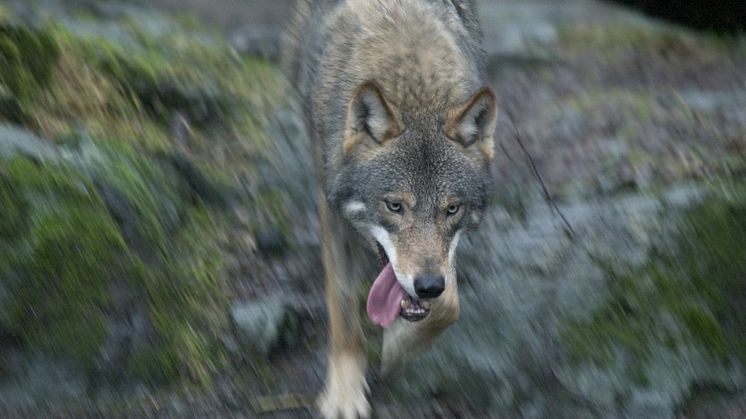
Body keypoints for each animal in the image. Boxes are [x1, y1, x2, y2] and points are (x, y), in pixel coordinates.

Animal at [282, 0, 496, 416]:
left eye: (452, 209)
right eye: (394, 206)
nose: (427, 286)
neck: (414, 91)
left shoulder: (440, 265)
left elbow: (448, 306)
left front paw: (399, 346)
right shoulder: (332, 213)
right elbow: (343, 310)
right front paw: (344, 395)